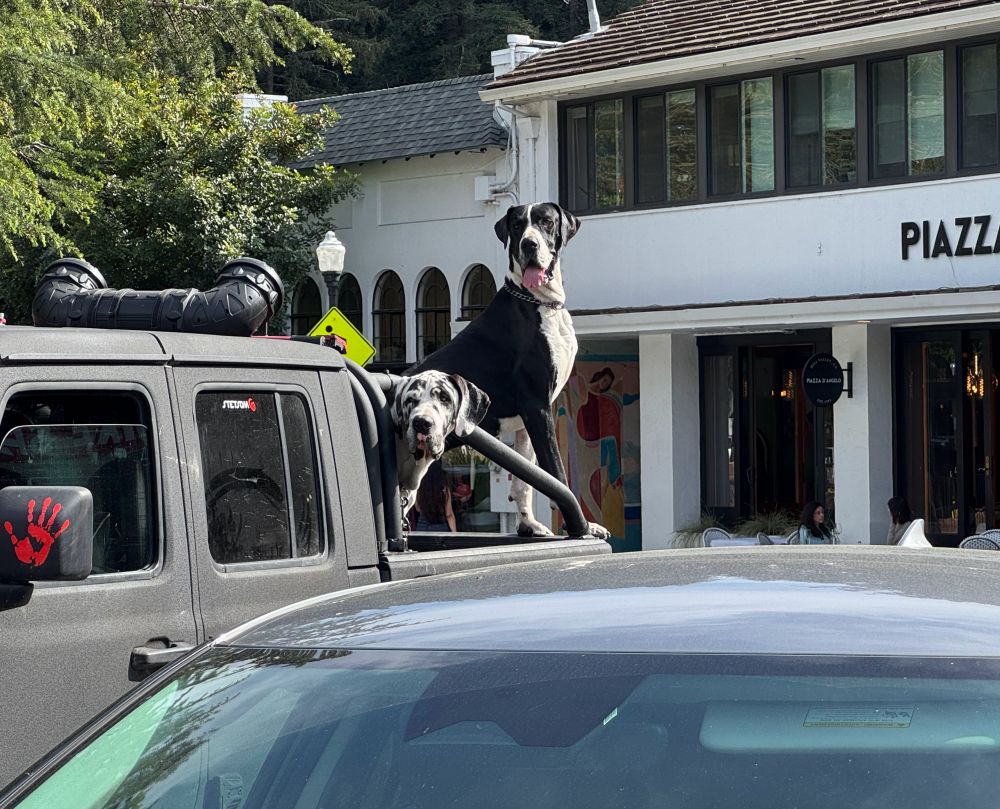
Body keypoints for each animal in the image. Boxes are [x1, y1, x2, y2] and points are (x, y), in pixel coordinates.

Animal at [410, 202, 610, 539]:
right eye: (517, 226)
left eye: (545, 222)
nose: (529, 244)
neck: (538, 303)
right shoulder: (538, 407)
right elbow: (556, 474)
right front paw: (582, 526)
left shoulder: (525, 422)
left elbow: (524, 481)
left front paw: (528, 525)